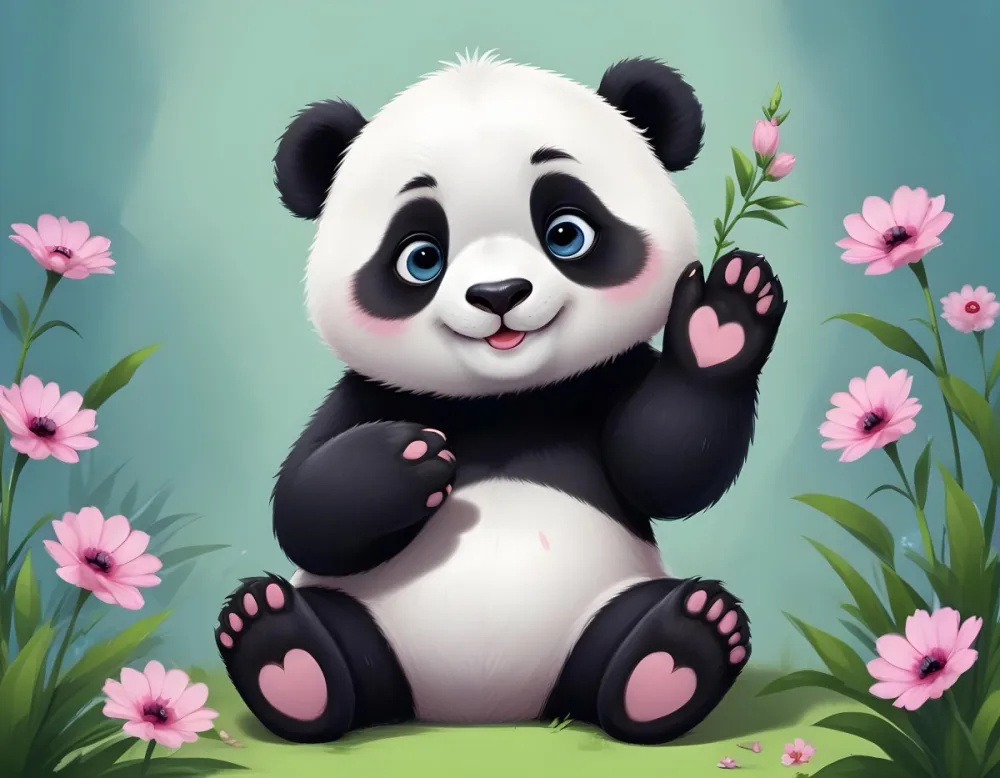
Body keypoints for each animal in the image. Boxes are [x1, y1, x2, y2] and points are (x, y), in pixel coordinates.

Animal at [215, 51, 786, 747]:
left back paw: (680, 648)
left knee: (620, 642)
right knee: (340, 641)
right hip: (366, 618)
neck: (504, 398)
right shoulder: (363, 393)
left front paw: (721, 317)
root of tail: (478, 708)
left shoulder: (604, 381)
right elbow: (305, 507)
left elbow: (667, 466)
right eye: (420, 257)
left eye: (567, 233)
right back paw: (280, 649)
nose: (498, 294)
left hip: (599, 612)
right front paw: (410, 457)